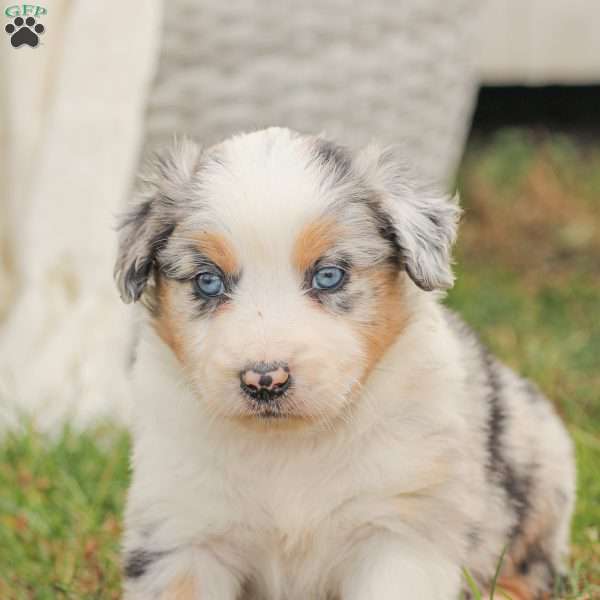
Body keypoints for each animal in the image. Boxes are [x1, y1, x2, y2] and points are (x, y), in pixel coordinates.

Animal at [113, 127, 576, 600]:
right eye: (208, 281)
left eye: (329, 275)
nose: (265, 380)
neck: (288, 445)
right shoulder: (183, 531)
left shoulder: (400, 530)